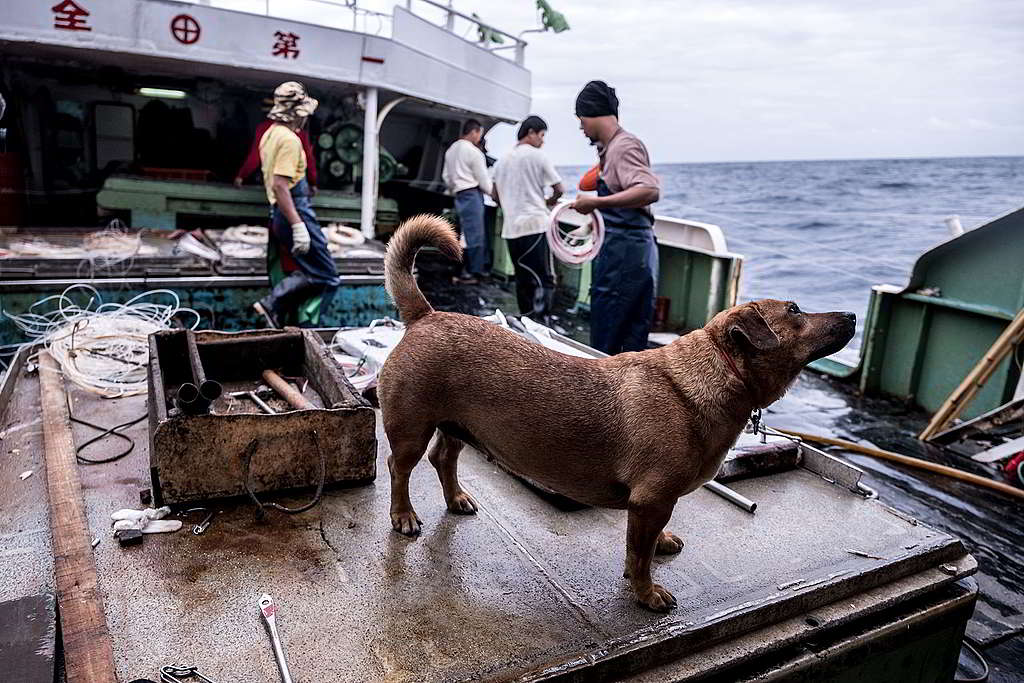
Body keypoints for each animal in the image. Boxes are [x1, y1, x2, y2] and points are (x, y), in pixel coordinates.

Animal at [376, 216, 856, 610]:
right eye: (795, 311)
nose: (852, 314)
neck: (713, 371)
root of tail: (426, 315)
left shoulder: (654, 505)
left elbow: (647, 543)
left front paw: (661, 545)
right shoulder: (650, 501)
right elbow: (637, 555)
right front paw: (646, 594)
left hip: (456, 426)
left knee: (444, 458)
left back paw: (456, 498)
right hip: (411, 429)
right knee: (400, 468)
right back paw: (403, 516)